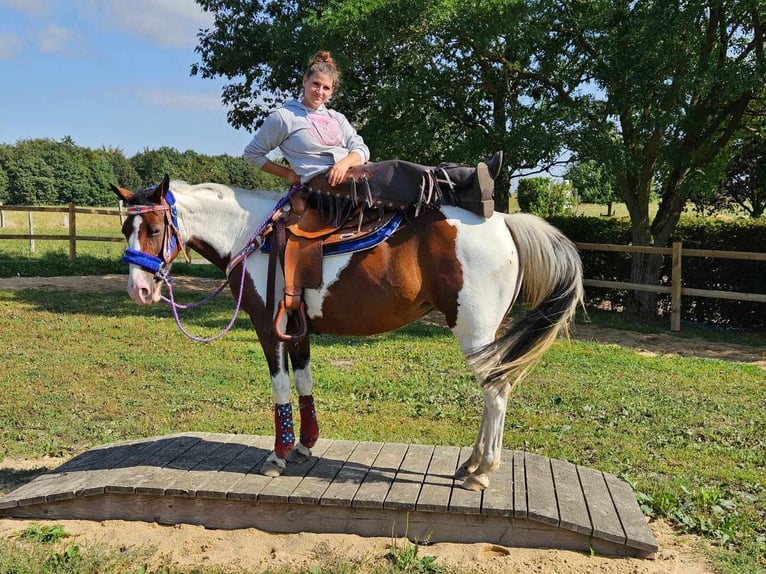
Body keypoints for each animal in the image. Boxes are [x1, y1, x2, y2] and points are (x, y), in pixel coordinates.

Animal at [111, 174, 584, 490]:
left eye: (155, 229)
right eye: (125, 229)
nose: (138, 289)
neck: (250, 233)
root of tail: (504, 221)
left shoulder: (269, 330)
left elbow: (280, 387)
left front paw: (278, 455)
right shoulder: (296, 329)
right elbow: (303, 382)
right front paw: (304, 445)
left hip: (476, 332)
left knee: (496, 391)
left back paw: (482, 472)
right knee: (494, 391)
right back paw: (470, 465)